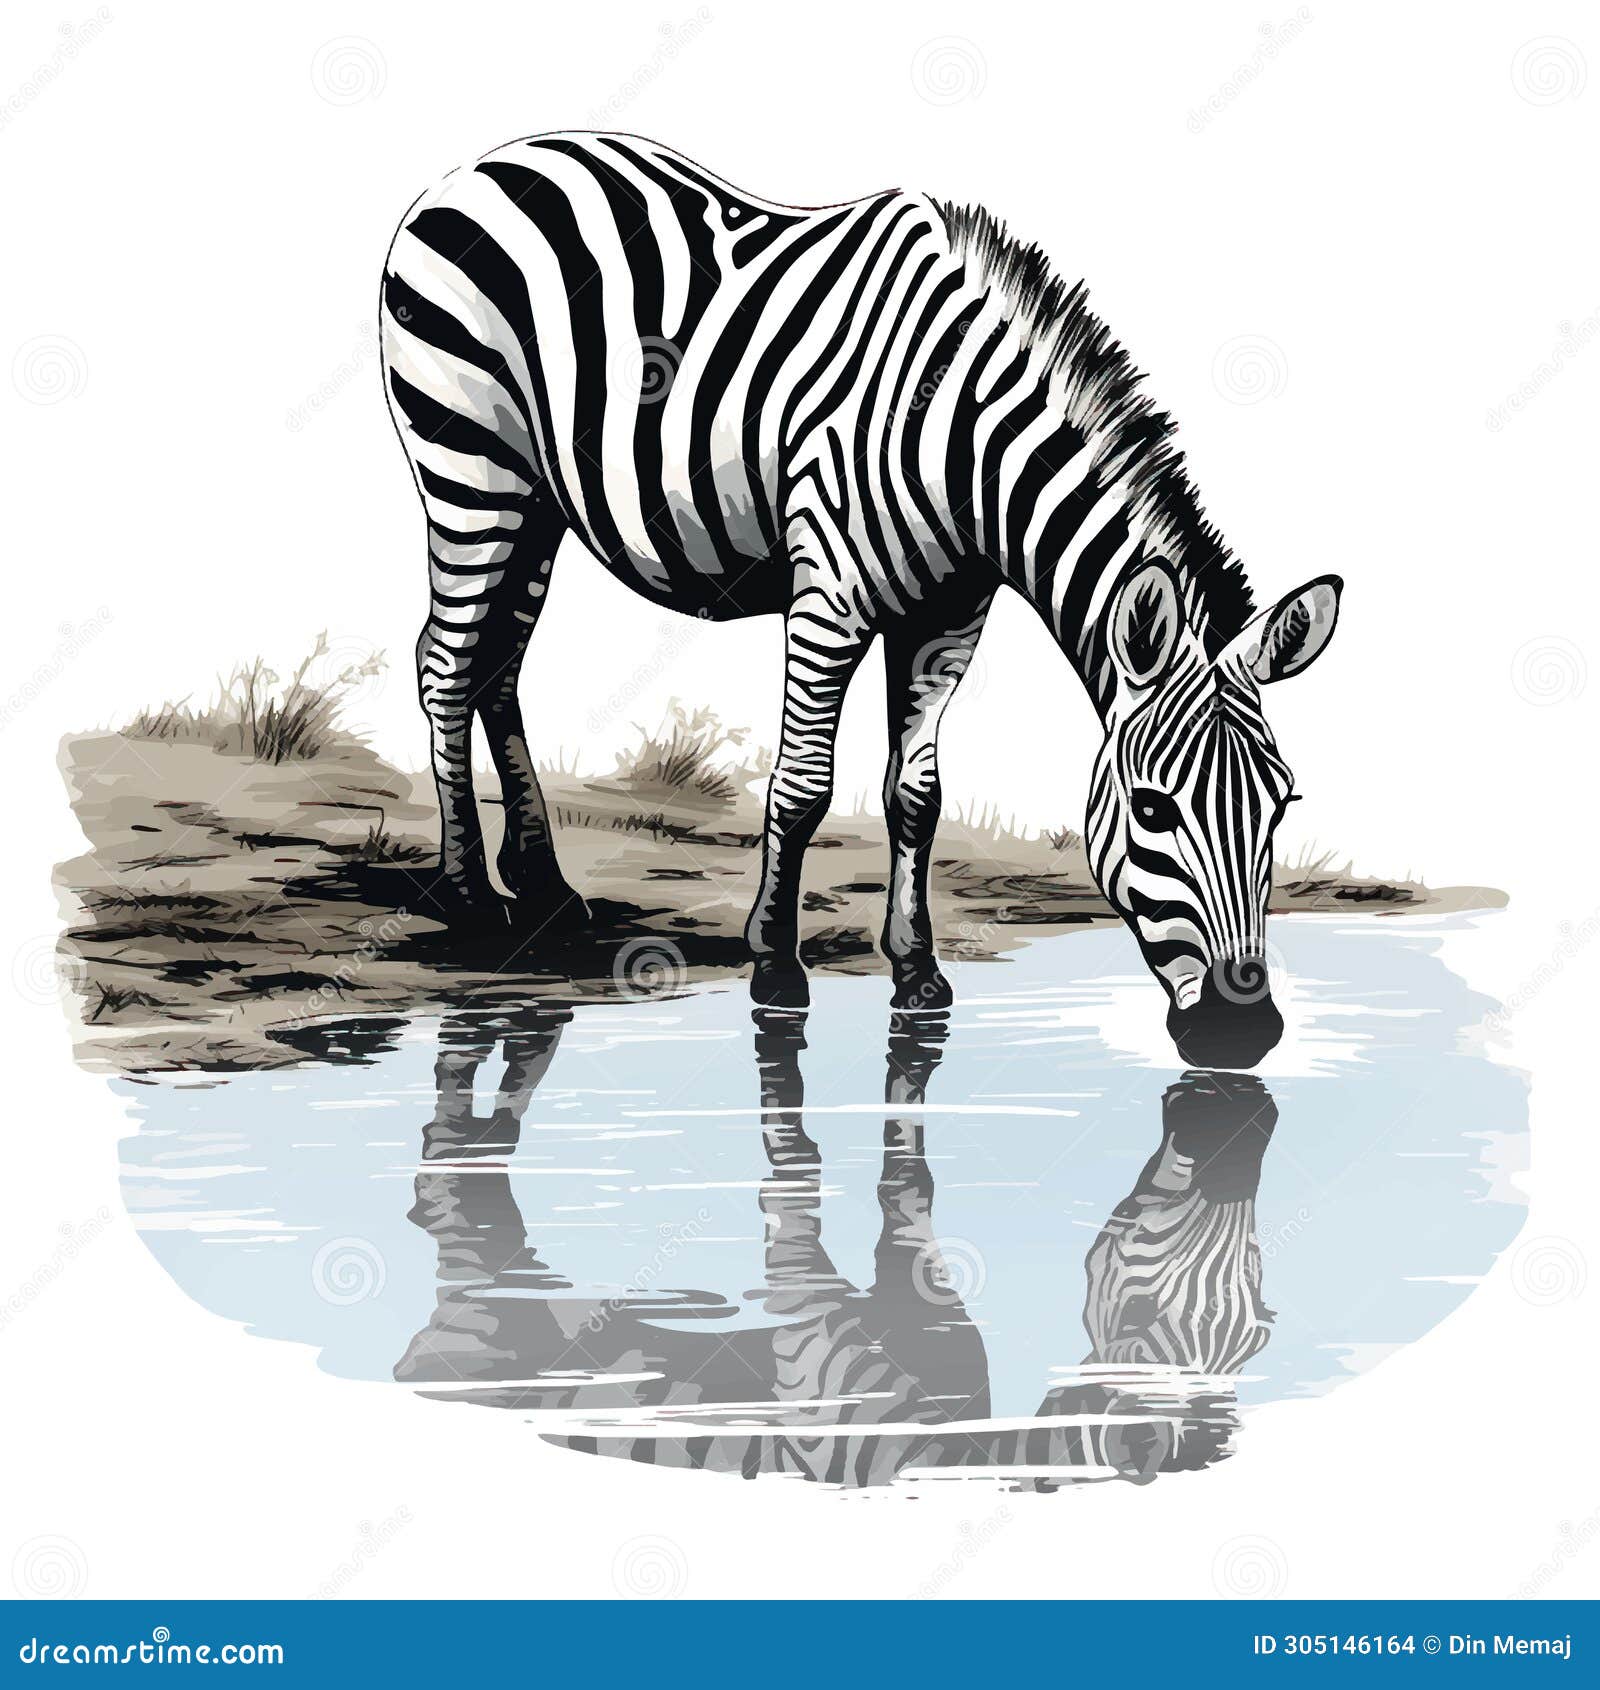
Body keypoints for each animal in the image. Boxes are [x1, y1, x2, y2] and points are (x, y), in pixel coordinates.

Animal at [380, 131, 1342, 1068]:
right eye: (1151, 809)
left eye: (1282, 805)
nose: (1243, 1035)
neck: (963, 442)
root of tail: (485, 161)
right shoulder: (829, 598)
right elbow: (804, 786)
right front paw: (775, 965)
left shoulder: (949, 614)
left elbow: (917, 793)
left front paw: (916, 971)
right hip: (472, 468)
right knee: (448, 663)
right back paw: (470, 894)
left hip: (540, 499)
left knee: (499, 664)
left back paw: (543, 887)